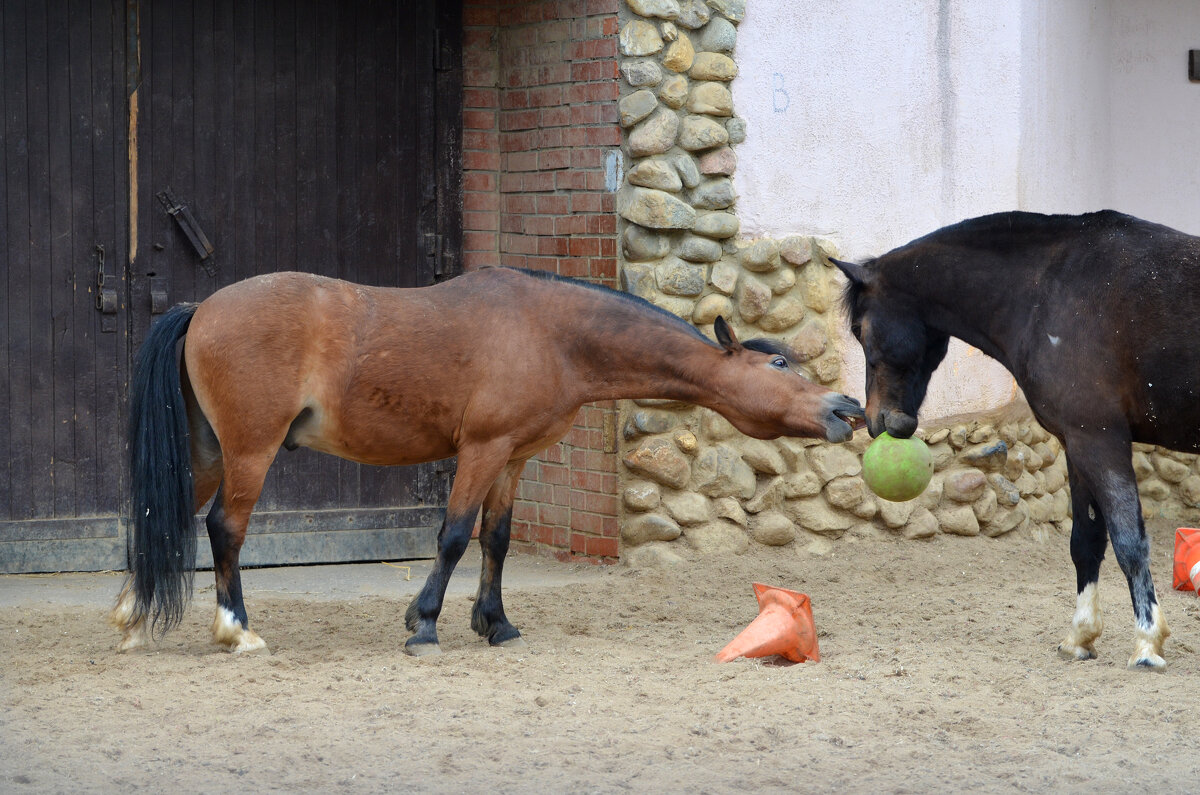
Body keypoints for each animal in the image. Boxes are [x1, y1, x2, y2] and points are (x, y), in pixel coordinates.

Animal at [112, 271, 864, 658]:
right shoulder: (480, 449)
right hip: (249, 450)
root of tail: (201, 308)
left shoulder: (513, 458)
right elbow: (452, 536)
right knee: (225, 529)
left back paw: (130, 618)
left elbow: (495, 539)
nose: (848, 408)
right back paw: (235, 629)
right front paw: (423, 624)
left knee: (160, 516)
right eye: (778, 364)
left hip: (209, 451)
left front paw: (494, 622)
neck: (550, 332)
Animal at [835, 211, 1200, 672]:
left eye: (858, 328)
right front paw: (1080, 637)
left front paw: (1148, 643)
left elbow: (1129, 543)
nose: (879, 421)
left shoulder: (1099, 441)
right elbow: (1086, 542)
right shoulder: (1077, 446)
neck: (1050, 288)